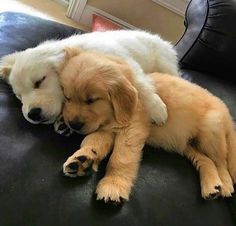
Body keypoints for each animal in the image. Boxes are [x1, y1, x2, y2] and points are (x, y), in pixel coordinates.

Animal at [0, 30, 178, 127]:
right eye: (19, 96)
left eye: (39, 81)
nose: (32, 114)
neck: (76, 52)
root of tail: (164, 42)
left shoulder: (126, 63)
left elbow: (141, 85)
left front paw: (156, 109)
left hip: (165, 63)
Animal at [60, 47, 236, 203]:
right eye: (67, 97)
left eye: (91, 100)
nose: (73, 125)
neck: (111, 116)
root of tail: (229, 117)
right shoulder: (107, 129)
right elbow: (93, 140)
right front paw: (82, 159)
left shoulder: (132, 128)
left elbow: (121, 157)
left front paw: (113, 185)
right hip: (187, 144)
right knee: (206, 160)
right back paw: (212, 186)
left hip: (210, 130)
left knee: (221, 162)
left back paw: (226, 185)